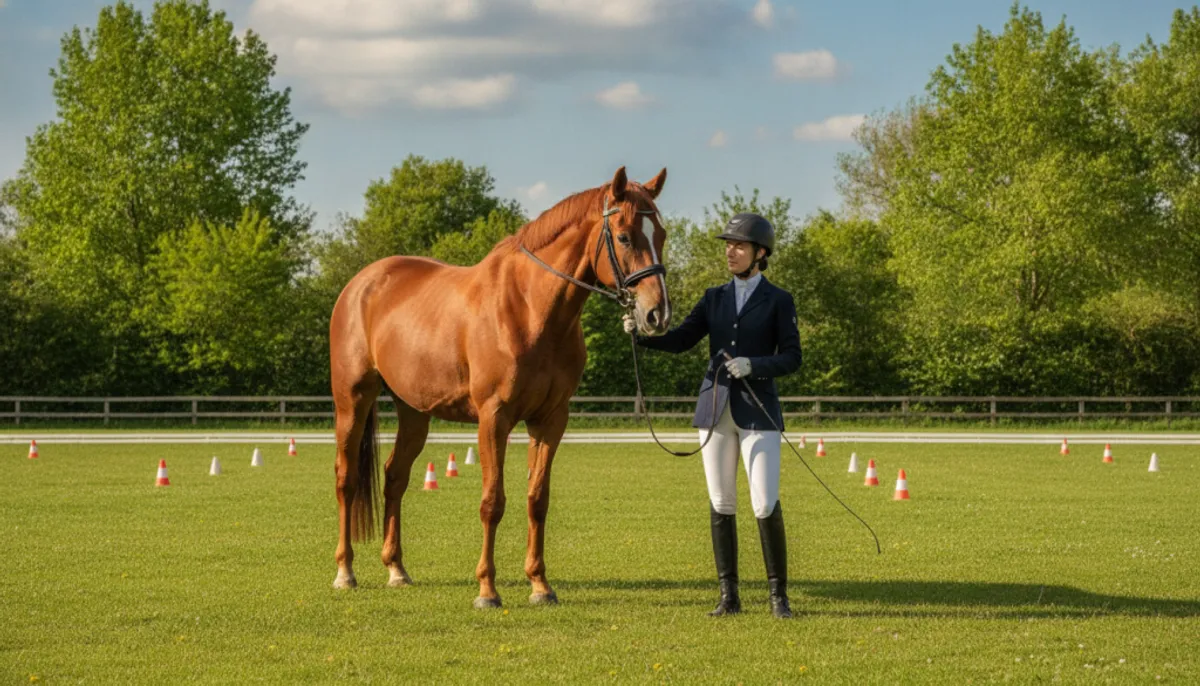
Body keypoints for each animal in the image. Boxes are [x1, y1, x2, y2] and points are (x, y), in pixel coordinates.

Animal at [328, 166, 672, 608]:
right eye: (626, 236)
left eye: (661, 235)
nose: (657, 313)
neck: (530, 309)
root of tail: (361, 284)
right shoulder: (494, 418)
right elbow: (492, 502)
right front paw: (487, 590)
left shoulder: (550, 420)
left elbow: (537, 500)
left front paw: (540, 585)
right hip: (352, 401)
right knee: (346, 479)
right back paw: (345, 571)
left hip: (414, 412)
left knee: (395, 477)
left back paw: (396, 569)